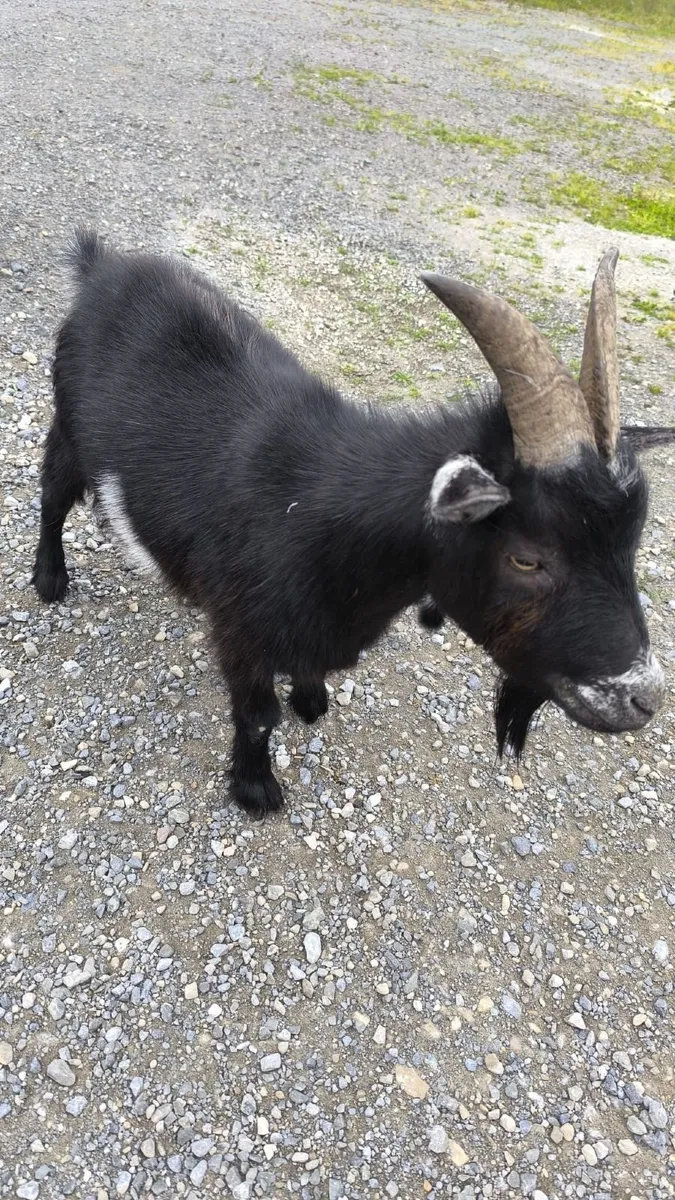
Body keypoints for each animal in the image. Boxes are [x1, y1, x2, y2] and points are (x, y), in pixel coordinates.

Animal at [33, 230, 675, 816]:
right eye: (527, 556)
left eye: (631, 541)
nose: (644, 699)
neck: (317, 517)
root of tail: (100, 267)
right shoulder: (238, 626)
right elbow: (257, 716)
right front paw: (255, 789)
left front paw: (311, 699)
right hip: (68, 420)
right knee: (54, 491)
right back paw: (49, 581)